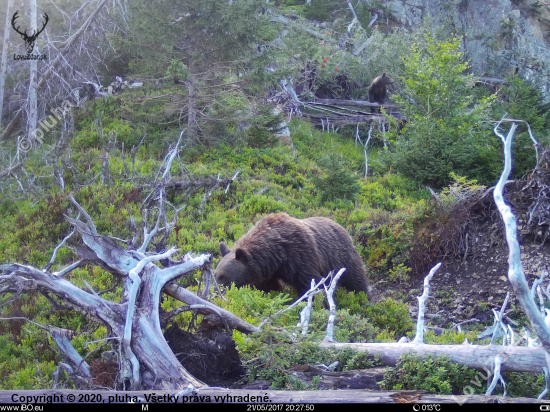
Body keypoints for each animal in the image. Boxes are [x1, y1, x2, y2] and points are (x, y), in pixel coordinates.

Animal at [216, 214, 370, 298]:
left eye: (223, 276)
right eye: (216, 274)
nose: (217, 292)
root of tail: (340, 225)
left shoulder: (298, 255)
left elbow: (312, 282)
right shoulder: (267, 272)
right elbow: (270, 286)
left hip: (340, 256)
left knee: (355, 278)